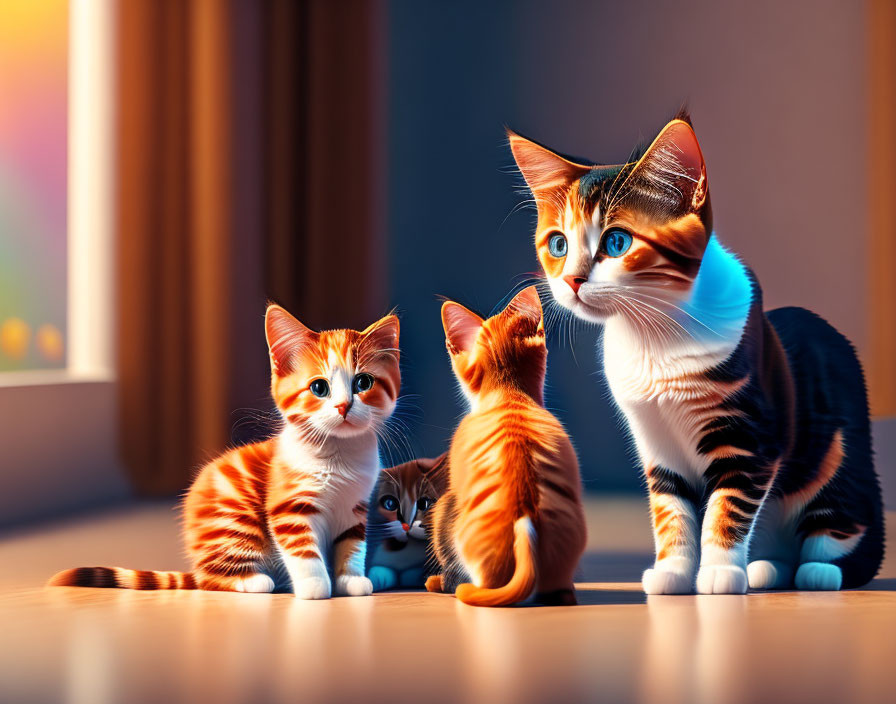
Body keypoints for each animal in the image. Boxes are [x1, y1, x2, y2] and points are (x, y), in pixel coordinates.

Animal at [49, 304, 400, 600]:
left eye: (363, 383)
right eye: (319, 388)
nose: (343, 406)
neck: (339, 455)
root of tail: (197, 565)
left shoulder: (354, 507)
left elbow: (352, 546)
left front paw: (350, 580)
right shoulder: (288, 505)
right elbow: (303, 549)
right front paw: (315, 586)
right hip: (233, 521)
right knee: (212, 580)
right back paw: (255, 581)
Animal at [508, 113, 884, 592]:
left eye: (616, 243)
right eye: (558, 244)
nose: (571, 281)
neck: (653, 336)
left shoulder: (750, 434)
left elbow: (729, 504)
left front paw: (719, 573)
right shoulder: (654, 439)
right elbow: (670, 509)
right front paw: (673, 572)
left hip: (838, 457)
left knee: (841, 530)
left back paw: (817, 572)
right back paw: (766, 569)